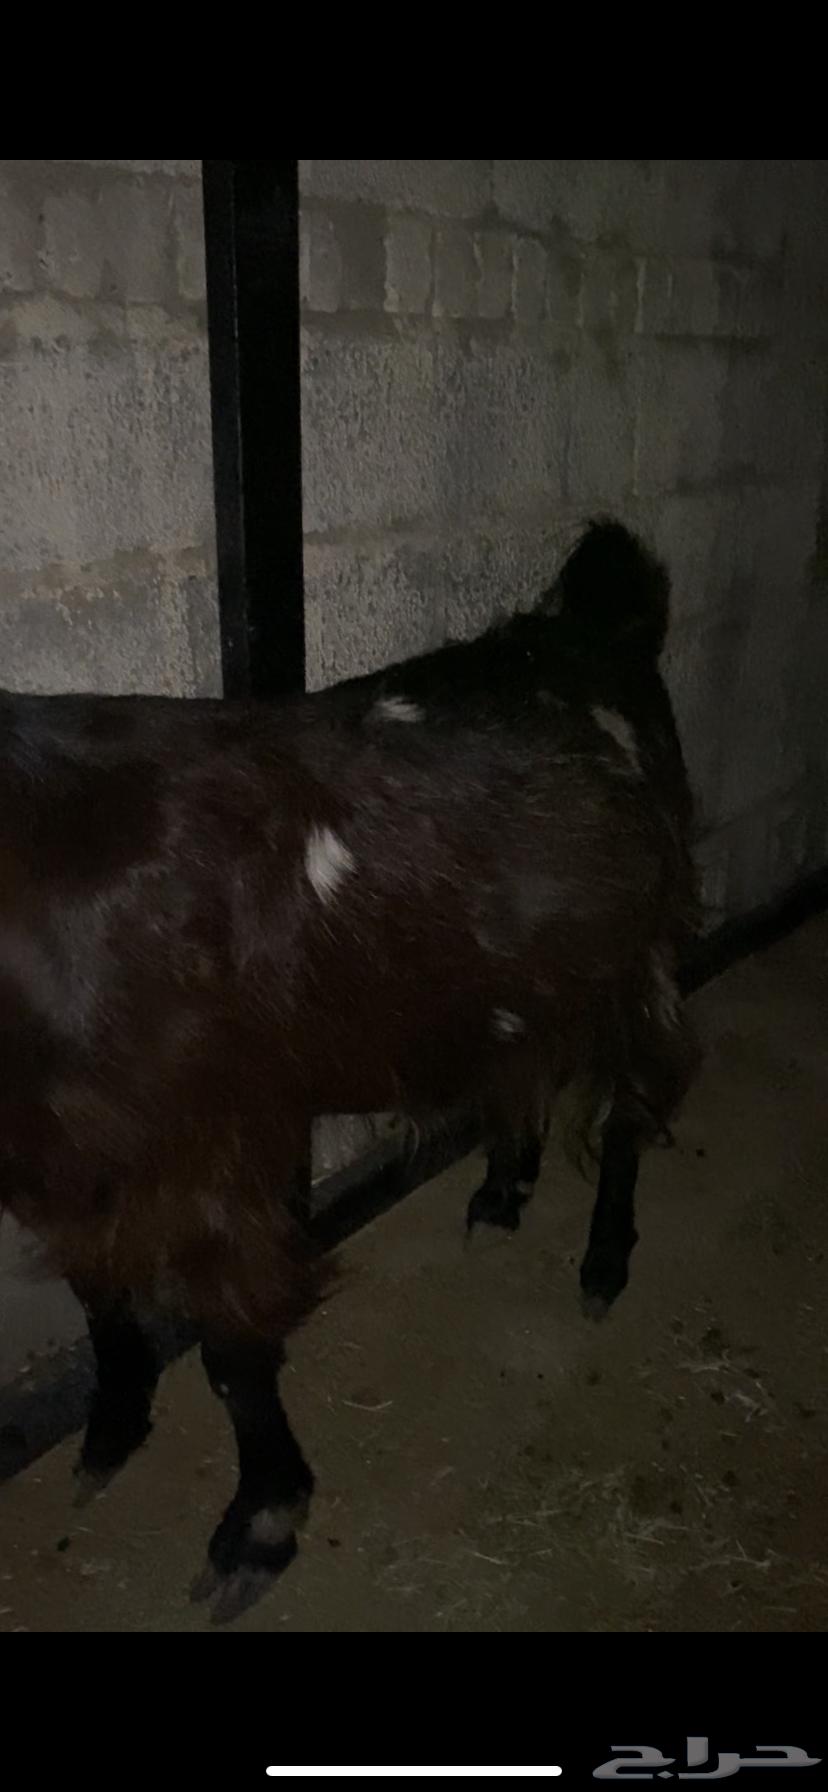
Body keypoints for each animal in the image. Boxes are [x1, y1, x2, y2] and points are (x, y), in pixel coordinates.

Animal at [0, 520, 698, 1620]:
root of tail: (587, 617)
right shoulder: (58, 1146)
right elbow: (95, 1287)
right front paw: (112, 1429)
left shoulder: (206, 1135)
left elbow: (234, 1350)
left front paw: (259, 1528)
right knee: (523, 1063)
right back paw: (502, 1191)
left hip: (640, 951)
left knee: (630, 1106)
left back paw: (603, 1260)